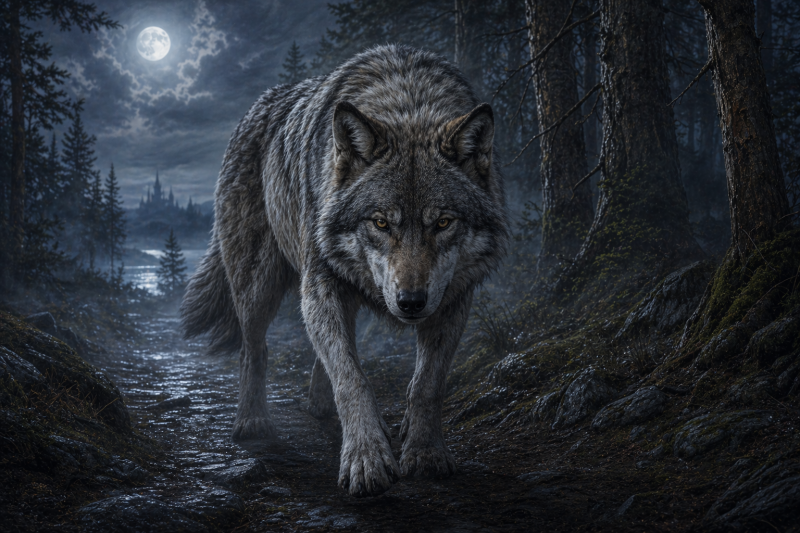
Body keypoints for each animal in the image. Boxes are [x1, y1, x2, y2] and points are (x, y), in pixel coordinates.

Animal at [181, 45, 508, 497]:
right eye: (381, 223)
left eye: (442, 223)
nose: (410, 302)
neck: (407, 100)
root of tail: (256, 107)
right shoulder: (320, 283)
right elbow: (352, 379)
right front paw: (366, 459)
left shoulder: (454, 298)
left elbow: (426, 384)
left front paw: (424, 451)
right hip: (258, 283)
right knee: (254, 349)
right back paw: (252, 421)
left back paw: (324, 405)